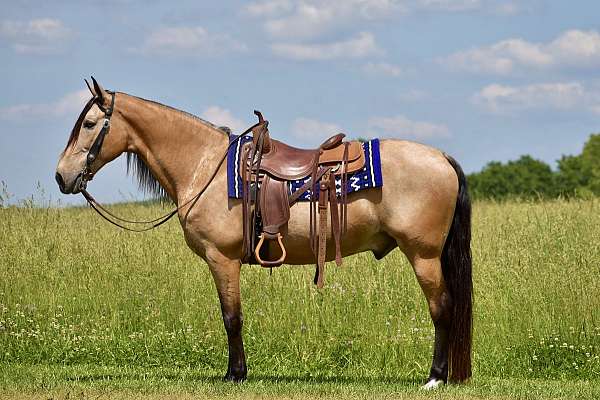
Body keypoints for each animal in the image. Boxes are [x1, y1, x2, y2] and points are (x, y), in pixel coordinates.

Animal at [56, 76, 472, 390]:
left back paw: (435, 378)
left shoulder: (221, 258)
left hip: (423, 255)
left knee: (442, 308)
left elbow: (231, 317)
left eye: (89, 124)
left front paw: (235, 375)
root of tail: (441, 158)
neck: (204, 165)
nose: (61, 176)